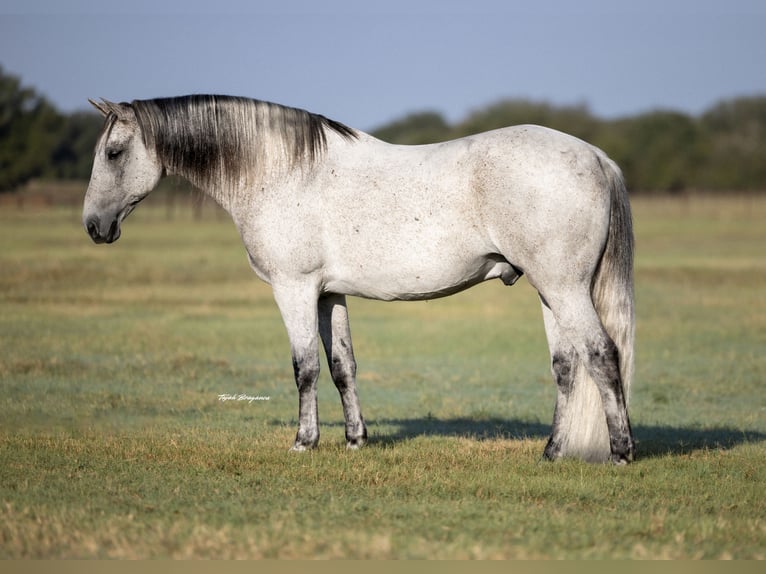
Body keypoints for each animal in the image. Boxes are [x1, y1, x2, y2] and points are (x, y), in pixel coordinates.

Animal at [83, 95, 635, 464]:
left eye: (113, 152)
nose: (93, 226)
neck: (282, 172)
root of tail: (597, 157)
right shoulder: (329, 294)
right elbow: (341, 365)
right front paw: (354, 440)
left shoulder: (294, 288)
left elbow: (304, 366)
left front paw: (304, 442)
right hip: (550, 291)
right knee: (567, 367)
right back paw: (552, 451)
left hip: (564, 288)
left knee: (603, 356)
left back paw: (622, 451)